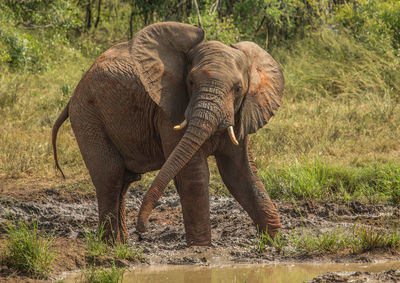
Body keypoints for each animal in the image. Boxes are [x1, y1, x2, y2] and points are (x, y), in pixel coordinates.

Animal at [52, 22, 284, 247]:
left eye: (238, 89)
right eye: (190, 82)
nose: (142, 229)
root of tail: (74, 94)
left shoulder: (241, 113)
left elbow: (239, 171)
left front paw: (274, 242)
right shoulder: (168, 111)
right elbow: (194, 174)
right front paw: (201, 248)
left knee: (123, 182)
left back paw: (123, 244)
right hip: (87, 116)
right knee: (110, 175)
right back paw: (109, 245)